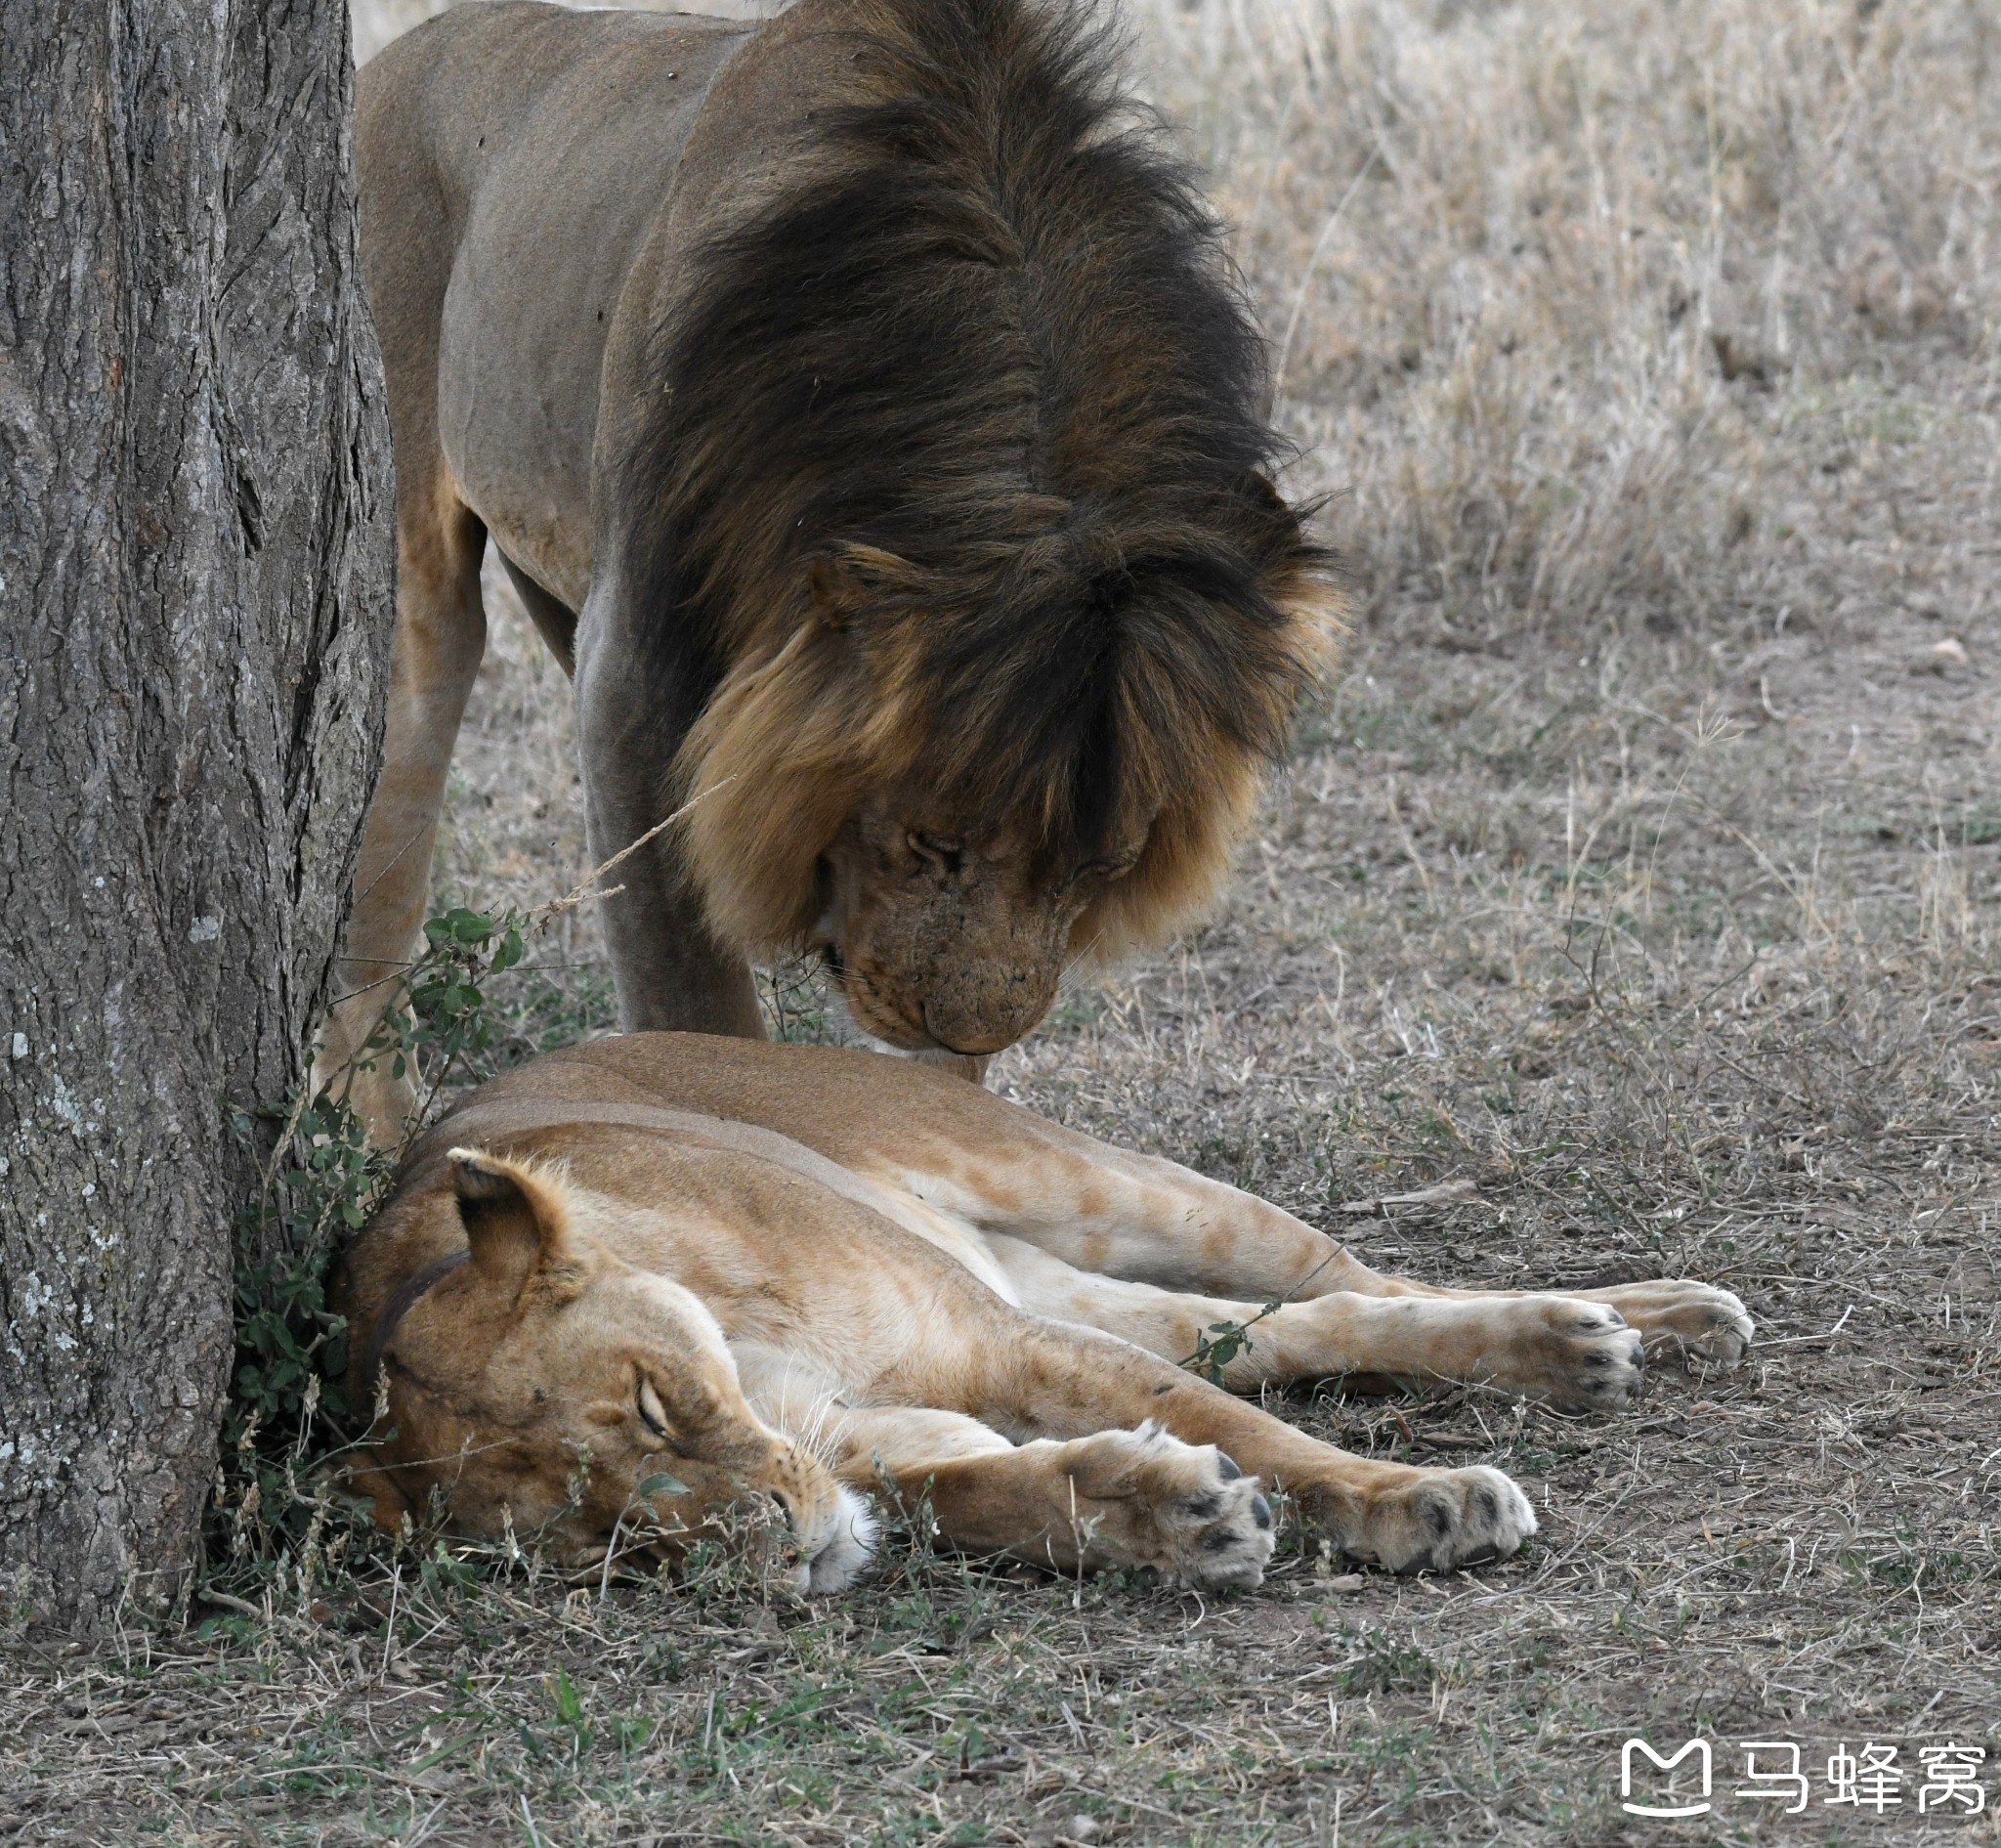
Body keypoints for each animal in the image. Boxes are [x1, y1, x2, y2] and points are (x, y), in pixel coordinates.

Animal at [323, 0, 1328, 1137]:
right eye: (933, 842)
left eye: (1104, 865)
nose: (966, 1029)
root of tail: (401, 56)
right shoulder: (634, 685)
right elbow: (695, 1005)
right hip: (408, 547)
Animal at [344, 1041, 1753, 1593]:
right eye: (601, 1541)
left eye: (646, 1402)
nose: (784, 1549)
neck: (746, 1361)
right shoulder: (885, 1433)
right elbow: (982, 1491)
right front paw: (1166, 1516)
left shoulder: (998, 1341)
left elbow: (1267, 1436)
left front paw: (1418, 1501)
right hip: (1068, 1272)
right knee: (1301, 1323)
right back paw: (1596, 1337)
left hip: (1084, 1178)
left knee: (1359, 1275)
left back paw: (1629, 1322)